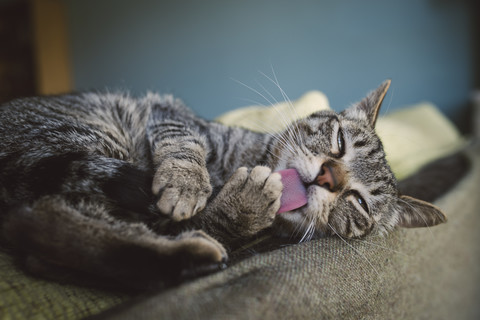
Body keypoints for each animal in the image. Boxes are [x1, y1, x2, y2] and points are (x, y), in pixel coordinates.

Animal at [0, 80, 446, 290]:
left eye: (359, 202)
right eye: (339, 141)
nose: (328, 176)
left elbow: (209, 222)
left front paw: (240, 207)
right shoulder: (169, 111)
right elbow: (185, 143)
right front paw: (187, 184)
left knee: (43, 228)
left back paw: (186, 256)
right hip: (88, 131)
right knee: (43, 221)